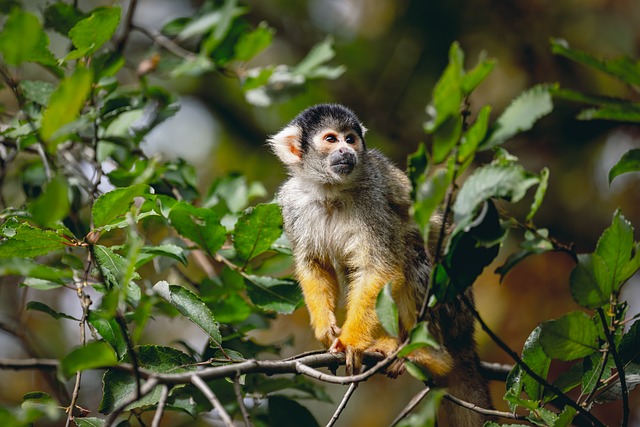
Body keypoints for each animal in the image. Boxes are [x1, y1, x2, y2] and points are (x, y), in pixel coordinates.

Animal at [268, 104, 492, 427]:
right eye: (331, 139)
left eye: (350, 139)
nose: (347, 151)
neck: (329, 190)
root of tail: (467, 332)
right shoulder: (292, 203)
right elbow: (315, 264)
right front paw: (326, 328)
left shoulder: (373, 199)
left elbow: (381, 267)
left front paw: (350, 343)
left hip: (454, 308)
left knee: (412, 255)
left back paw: (428, 354)